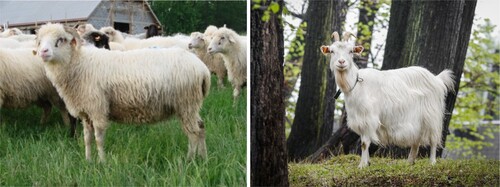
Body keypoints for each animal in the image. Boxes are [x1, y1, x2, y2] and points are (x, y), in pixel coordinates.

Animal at [35, 22, 211, 162]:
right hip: (191, 106)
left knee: (193, 133)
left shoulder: (98, 109)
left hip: (186, 104)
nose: (43, 52)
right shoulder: (86, 112)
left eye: (61, 40)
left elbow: (98, 139)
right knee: (201, 127)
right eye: (39, 41)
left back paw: (189, 160)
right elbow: (87, 138)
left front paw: (102, 163)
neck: (79, 63)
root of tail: (203, 69)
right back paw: (203, 158)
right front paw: (88, 161)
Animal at [322, 31, 456, 169]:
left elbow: (364, 143)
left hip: (432, 114)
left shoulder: (369, 118)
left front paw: (362, 165)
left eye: (350, 51)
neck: (357, 84)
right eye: (332, 51)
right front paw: (367, 163)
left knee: (434, 139)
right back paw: (409, 162)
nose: (341, 62)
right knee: (416, 140)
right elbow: (365, 142)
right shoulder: (360, 119)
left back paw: (432, 162)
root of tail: (437, 79)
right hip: (418, 120)